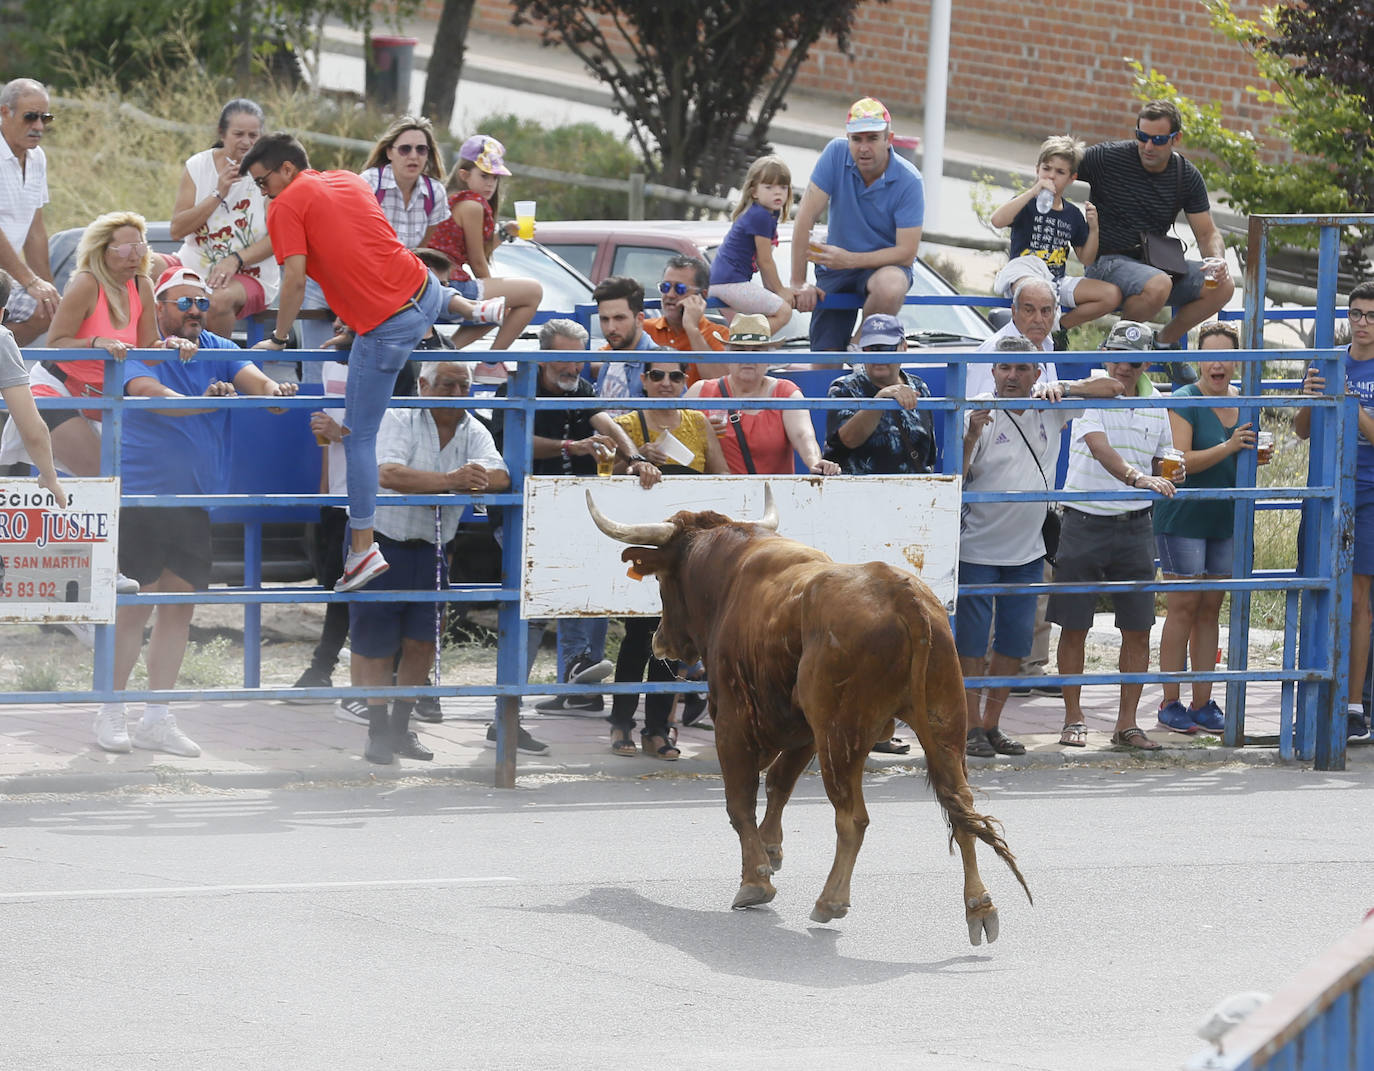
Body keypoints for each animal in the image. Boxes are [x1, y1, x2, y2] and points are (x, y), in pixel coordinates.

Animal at [588, 486, 1033, 945]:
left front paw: (755, 879)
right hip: (943, 726)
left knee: (853, 818)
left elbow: (740, 801)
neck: (729, 576)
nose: (659, 640)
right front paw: (771, 850)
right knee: (962, 807)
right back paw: (979, 906)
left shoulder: (732, 721)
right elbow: (779, 785)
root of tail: (900, 592)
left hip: (841, 735)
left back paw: (830, 900)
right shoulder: (803, 730)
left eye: (662, 580)